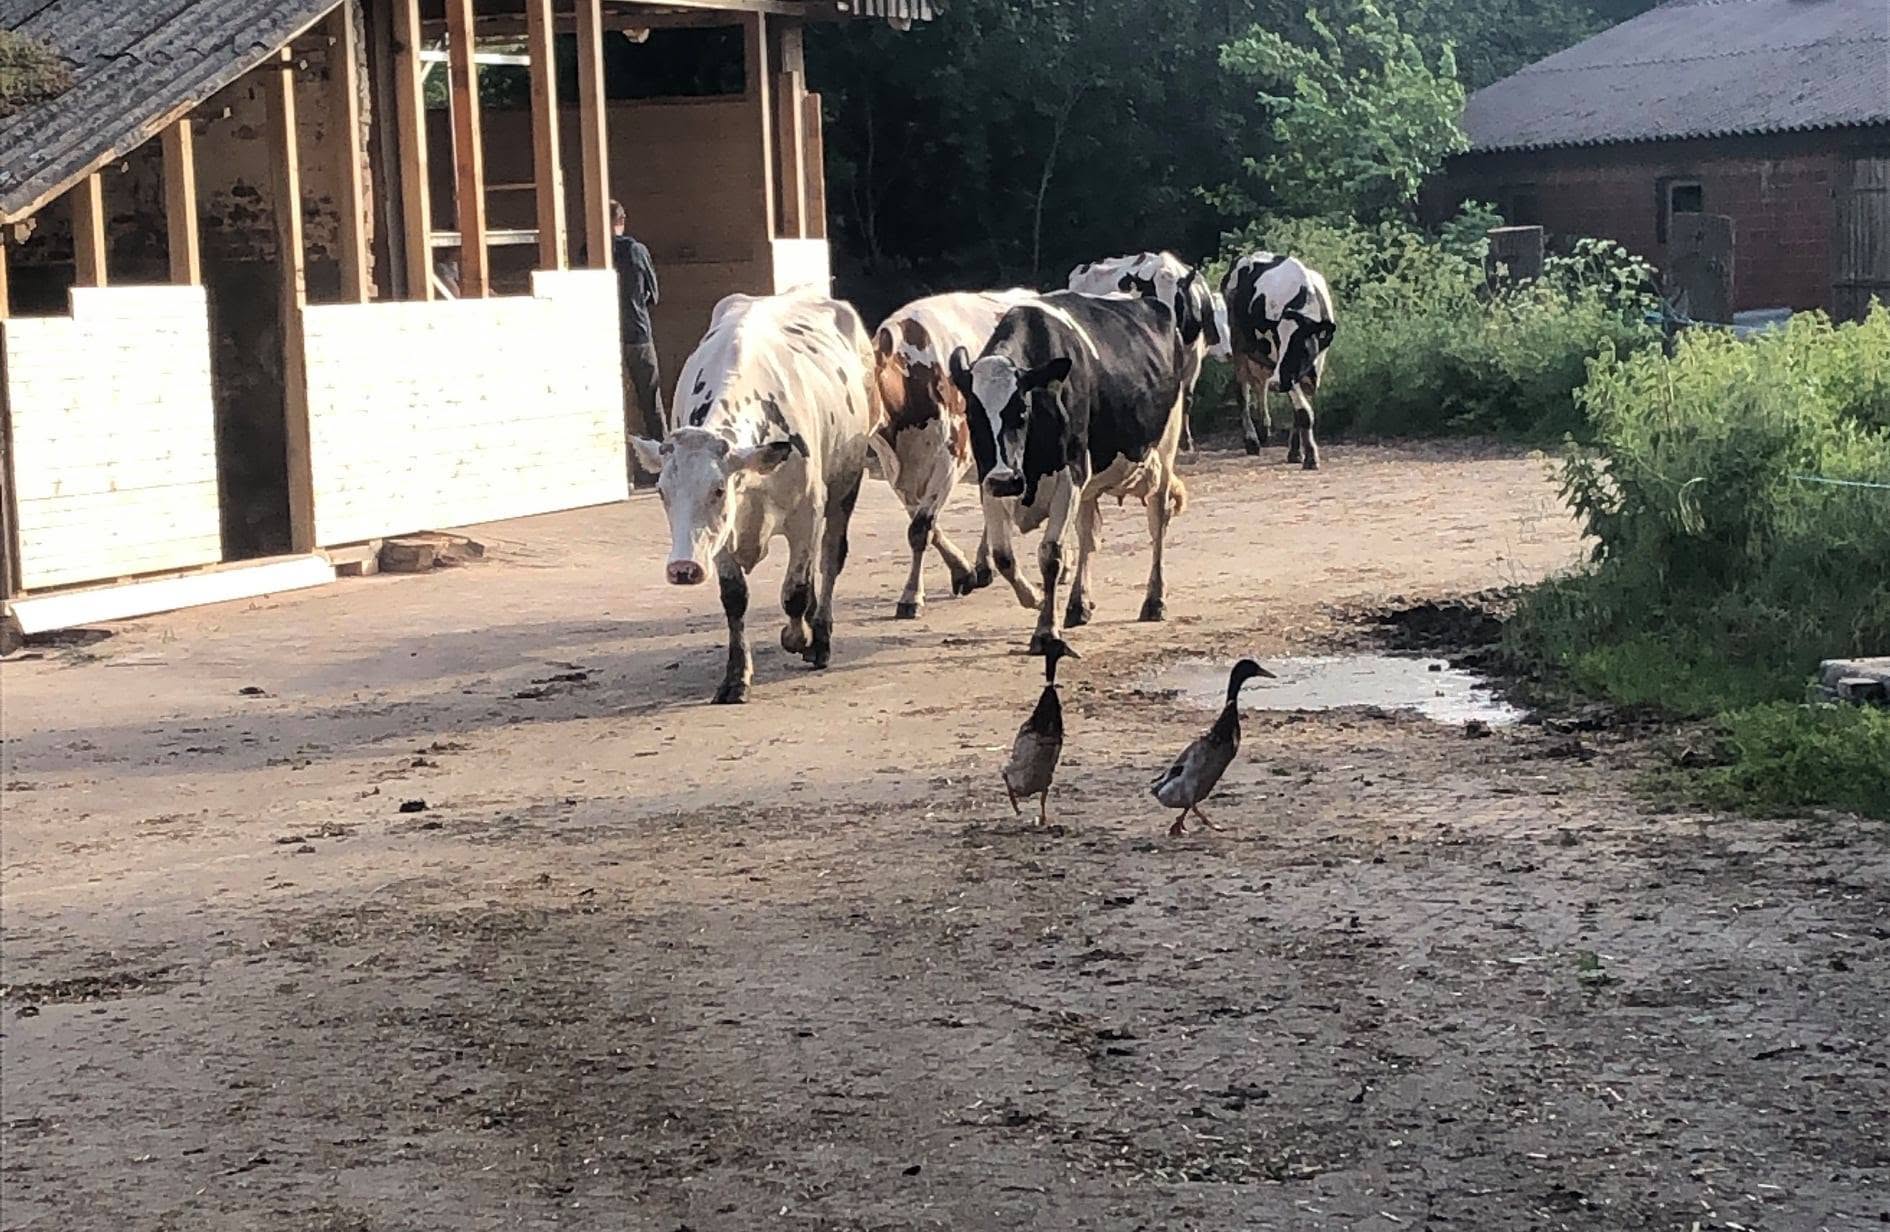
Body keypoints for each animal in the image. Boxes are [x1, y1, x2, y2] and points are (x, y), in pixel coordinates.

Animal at [630, 291, 877, 704]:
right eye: (662, 492)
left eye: (718, 489)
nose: (683, 568)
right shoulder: (721, 537)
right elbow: (735, 598)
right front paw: (735, 677)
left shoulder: (807, 514)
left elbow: (795, 591)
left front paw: (799, 637)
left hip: (845, 487)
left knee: (829, 559)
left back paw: (819, 635)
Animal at [868, 289, 1038, 619]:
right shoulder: (896, 473)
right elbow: (926, 526)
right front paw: (963, 572)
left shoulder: (950, 459)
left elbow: (920, 528)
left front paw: (911, 596)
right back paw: (983, 566)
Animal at [948, 291, 1190, 654]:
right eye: (972, 414)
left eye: (1022, 410)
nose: (1007, 479)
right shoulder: (988, 482)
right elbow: (1003, 555)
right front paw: (1034, 598)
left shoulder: (1069, 477)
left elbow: (1051, 554)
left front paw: (1046, 630)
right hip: (1089, 483)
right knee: (1089, 534)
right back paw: (1078, 605)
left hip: (1164, 449)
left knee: (1157, 523)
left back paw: (1154, 600)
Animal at [1222, 252, 1337, 467]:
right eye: (1279, 339)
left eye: (1302, 346)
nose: (1277, 384)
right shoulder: (1284, 371)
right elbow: (1303, 412)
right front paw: (1310, 457)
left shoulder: (1313, 366)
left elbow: (1299, 411)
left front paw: (1296, 452)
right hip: (1238, 343)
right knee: (1243, 391)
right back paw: (1252, 440)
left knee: (1260, 384)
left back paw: (1264, 428)